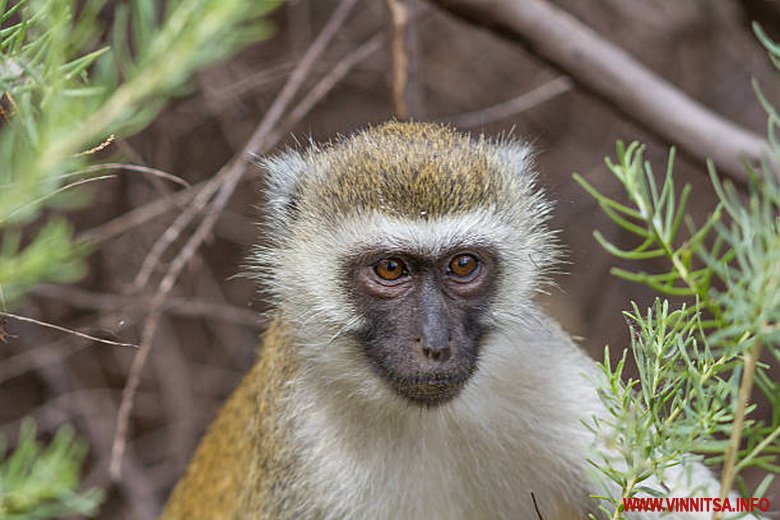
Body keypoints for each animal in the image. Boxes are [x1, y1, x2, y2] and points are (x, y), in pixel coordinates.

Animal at [161, 123, 728, 520]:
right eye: (391, 269)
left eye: (462, 265)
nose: (435, 344)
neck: (425, 422)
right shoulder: (306, 451)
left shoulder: (544, 370)